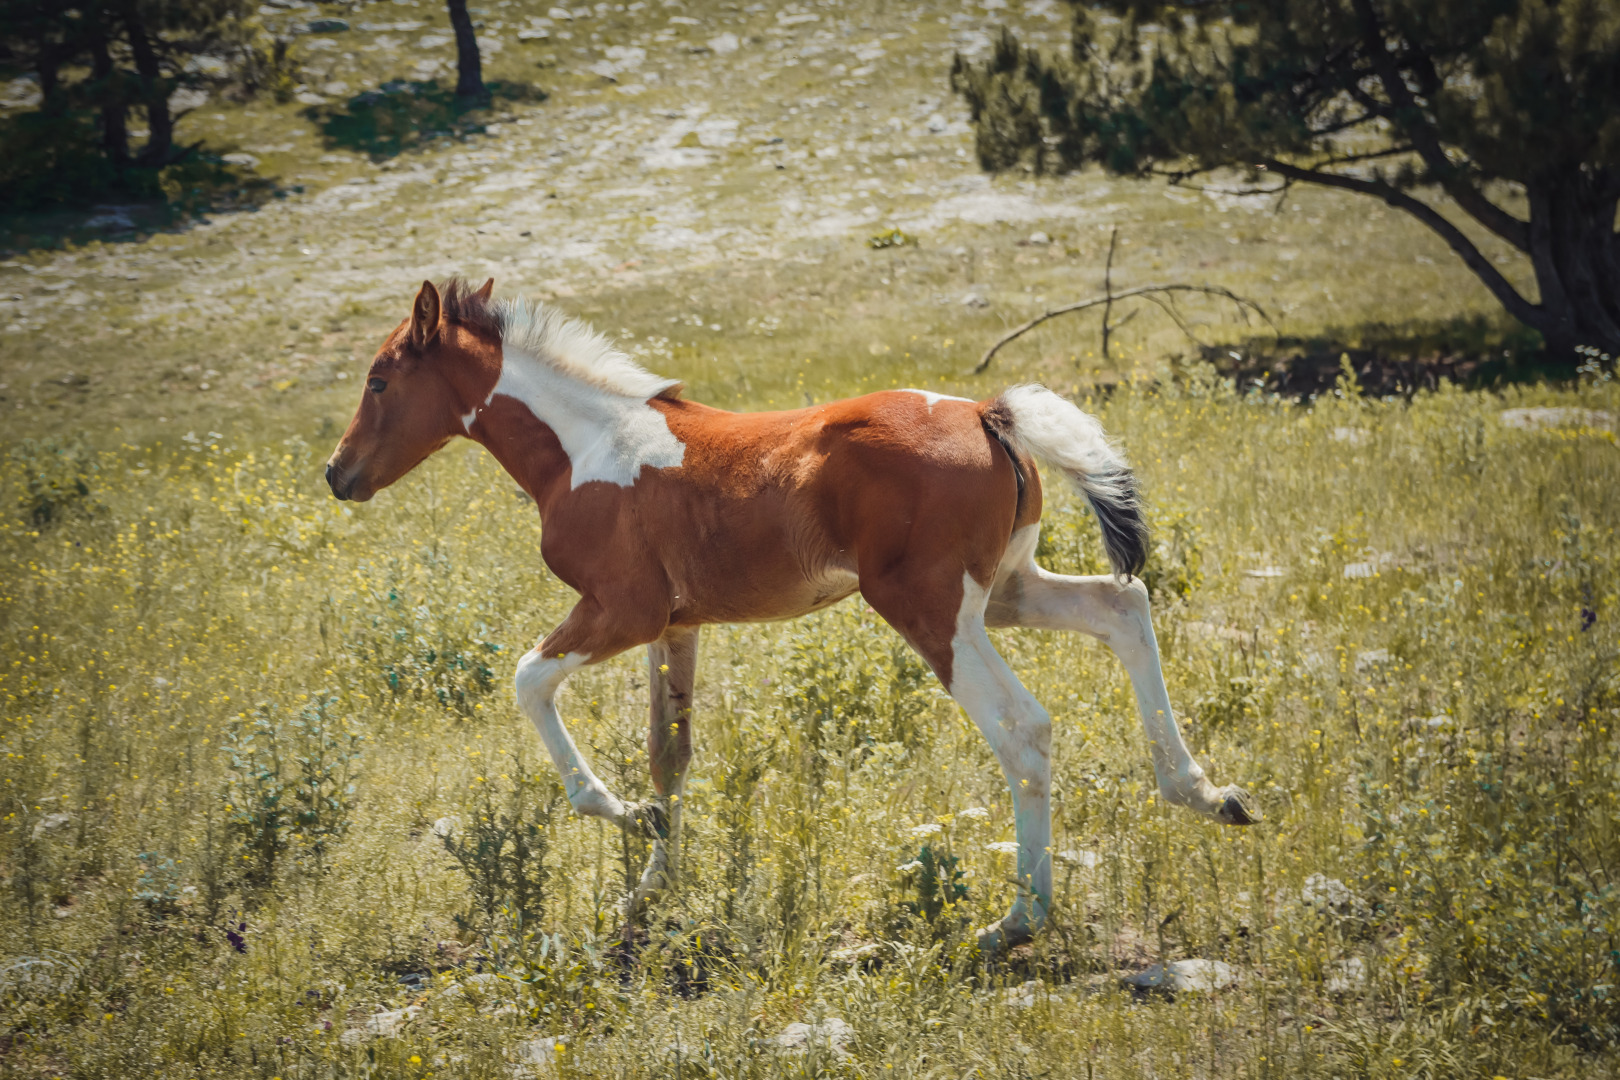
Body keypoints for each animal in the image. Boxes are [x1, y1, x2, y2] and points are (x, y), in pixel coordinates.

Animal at [322, 281, 1257, 952]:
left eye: (378, 380)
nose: (337, 473)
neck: (584, 449)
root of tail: (988, 415)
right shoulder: (676, 625)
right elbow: (670, 755)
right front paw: (648, 889)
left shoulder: (621, 610)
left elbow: (528, 681)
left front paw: (619, 814)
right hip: (1007, 590)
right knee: (1123, 606)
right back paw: (1207, 794)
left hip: (931, 608)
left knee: (1023, 725)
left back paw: (1017, 920)